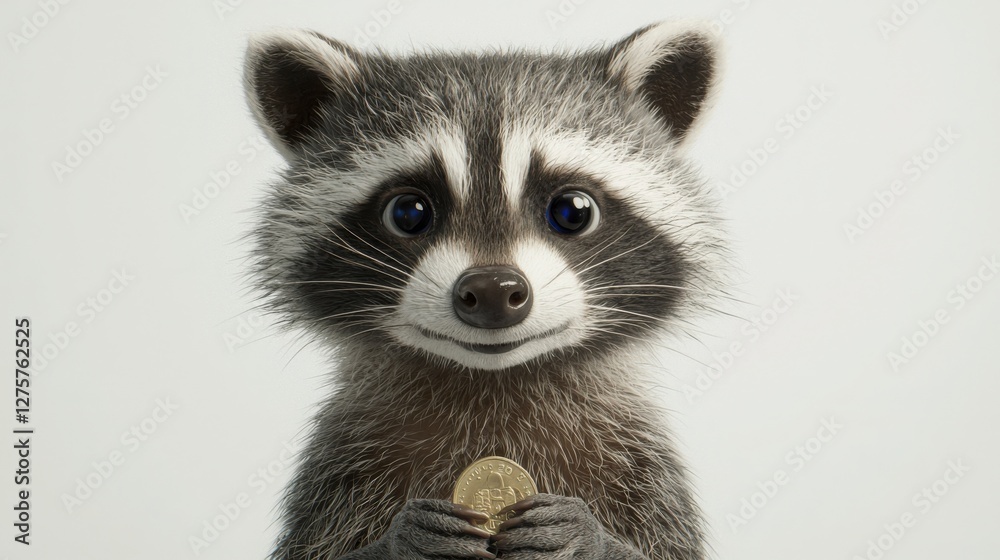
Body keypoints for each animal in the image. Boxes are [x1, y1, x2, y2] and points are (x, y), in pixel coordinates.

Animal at [244, 20, 728, 560]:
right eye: (408, 212)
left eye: (573, 210)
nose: (494, 288)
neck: (493, 382)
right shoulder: (338, 471)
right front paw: (395, 539)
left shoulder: (644, 472)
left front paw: (593, 536)